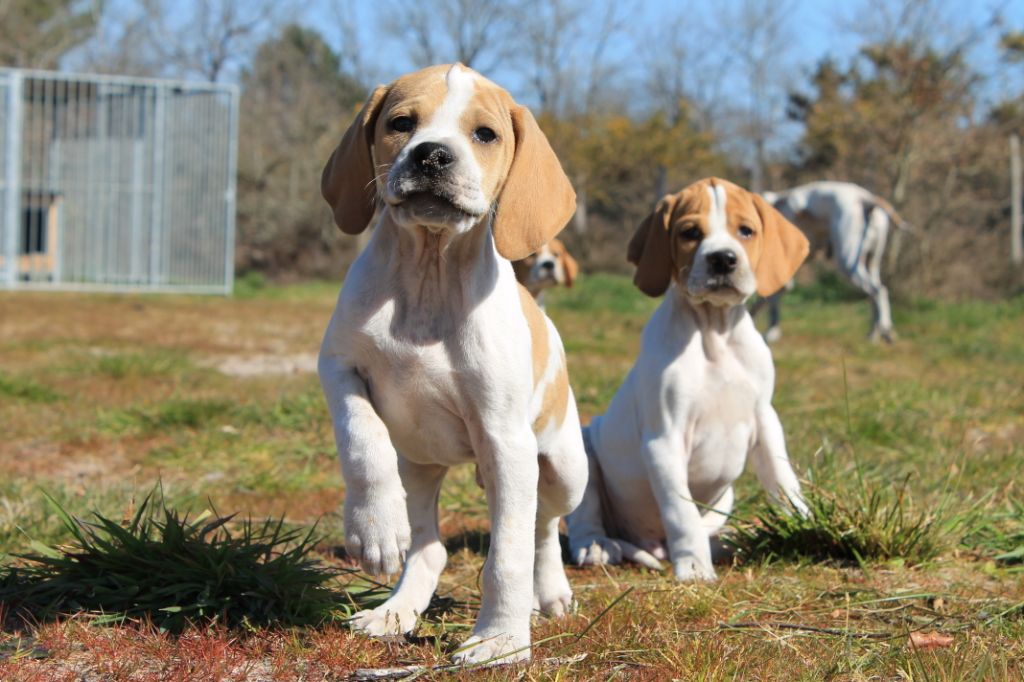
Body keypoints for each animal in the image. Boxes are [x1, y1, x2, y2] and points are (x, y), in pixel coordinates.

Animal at [319, 65, 593, 663]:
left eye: (484, 134)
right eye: (401, 123)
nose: (431, 155)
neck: (430, 277)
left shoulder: (504, 440)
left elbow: (508, 556)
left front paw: (501, 641)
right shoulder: (339, 368)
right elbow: (361, 440)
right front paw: (374, 527)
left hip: (562, 469)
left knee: (543, 527)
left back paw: (549, 594)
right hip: (420, 464)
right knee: (430, 546)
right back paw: (394, 610)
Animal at [565, 176, 811, 577]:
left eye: (746, 231)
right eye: (690, 233)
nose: (723, 259)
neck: (715, 332)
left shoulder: (765, 420)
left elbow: (784, 481)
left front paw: (808, 527)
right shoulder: (665, 438)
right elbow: (681, 511)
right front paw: (695, 568)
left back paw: (729, 541)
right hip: (584, 446)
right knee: (584, 517)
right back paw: (596, 545)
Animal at [753, 180, 913, 342]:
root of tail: (866, 198)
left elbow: (768, 301)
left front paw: (769, 331)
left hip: (847, 263)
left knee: (879, 291)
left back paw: (885, 330)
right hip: (871, 262)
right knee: (874, 294)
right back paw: (874, 333)